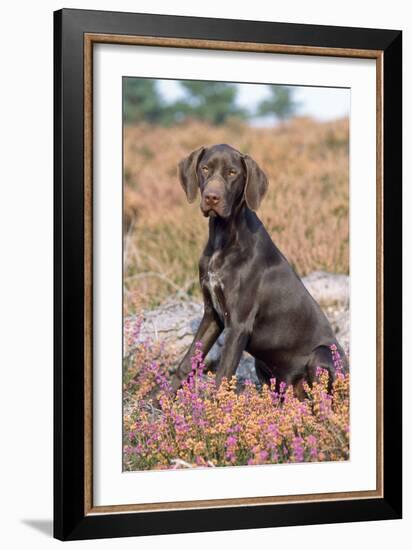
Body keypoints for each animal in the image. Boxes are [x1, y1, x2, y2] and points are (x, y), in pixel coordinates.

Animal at [170, 144, 348, 398]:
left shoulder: (238, 325)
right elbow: (186, 364)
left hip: (321, 354)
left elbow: (222, 377)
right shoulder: (212, 316)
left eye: (232, 172)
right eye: (204, 169)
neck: (223, 238)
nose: (211, 197)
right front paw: (158, 399)